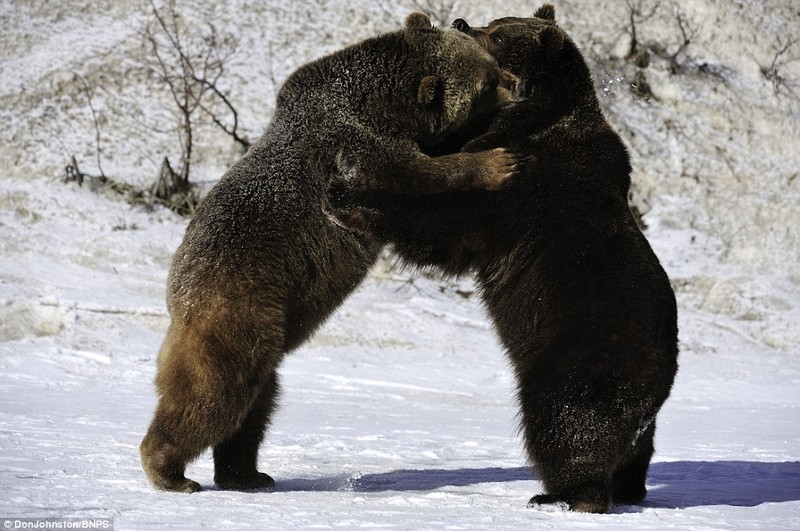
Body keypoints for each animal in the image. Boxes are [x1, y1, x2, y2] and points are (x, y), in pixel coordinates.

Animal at [141, 11, 520, 494]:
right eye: (487, 84)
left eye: (490, 66)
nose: (514, 83)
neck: (381, 102)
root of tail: (175, 295)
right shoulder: (354, 146)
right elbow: (411, 174)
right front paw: (496, 163)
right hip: (238, 302)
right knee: (216, 394)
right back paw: (170, 471)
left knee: (255, 405)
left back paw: (247, 473)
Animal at [324, 3, 676, 512]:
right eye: (493, 22)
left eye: (499, 37)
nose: (460, 22)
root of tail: (660, 380)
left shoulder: (524, 189)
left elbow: (444, 221)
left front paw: (347, 195)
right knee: (633, 450)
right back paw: (627, 487)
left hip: (576, 357)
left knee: (563, 421)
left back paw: (563, 495)